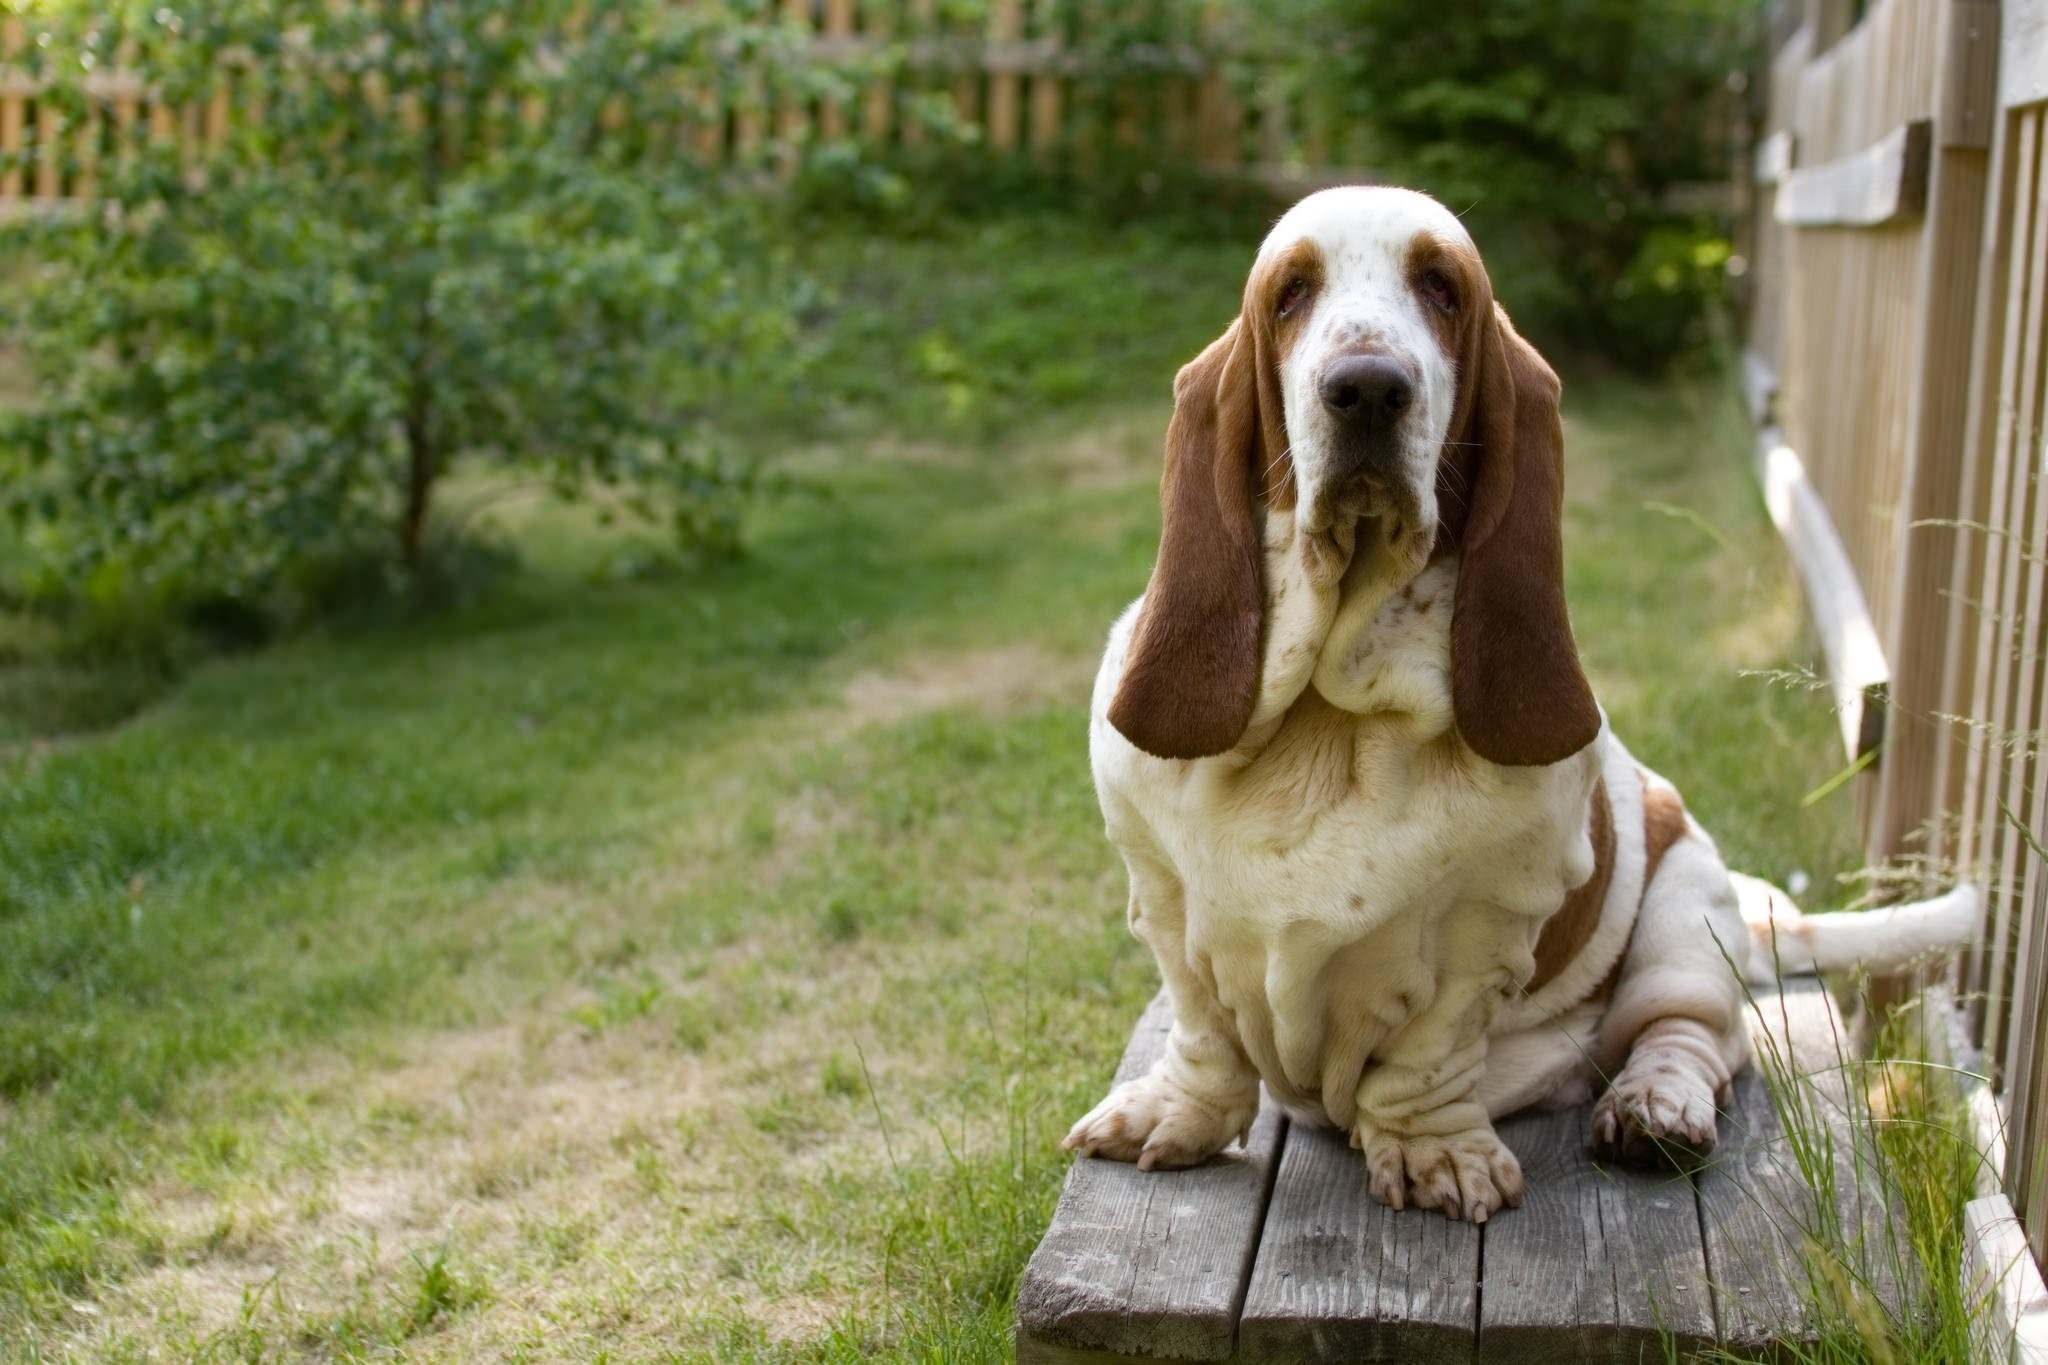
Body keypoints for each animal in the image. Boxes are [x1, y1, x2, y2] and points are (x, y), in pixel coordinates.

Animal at [1073, 187, 1982, 1219]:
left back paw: (1654, 1112)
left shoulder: (1484, 933)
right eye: (1291, 293)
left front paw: (1436, 1155)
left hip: (1686, 908)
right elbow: (1203, 1036)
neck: (1334, 711)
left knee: (1692, 1033)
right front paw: (1173, 1116)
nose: (1367, 388)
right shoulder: (1163, 900)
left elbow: (1427, 1057)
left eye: (1442, 288)